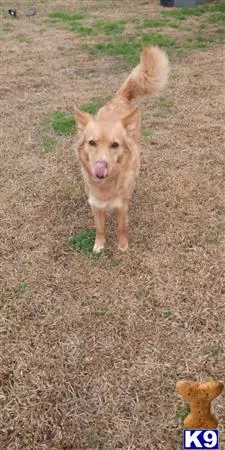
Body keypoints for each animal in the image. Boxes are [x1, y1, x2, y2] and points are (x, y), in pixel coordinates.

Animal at [74, 48, 170, 256]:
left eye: (115, 145)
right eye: (92, 142)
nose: (100, 168)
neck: (106, 186)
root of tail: (119, 98)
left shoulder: (122, 206)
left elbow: (121, 227)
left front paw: (122, 245)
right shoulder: (95, 205)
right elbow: (100, 228)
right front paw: (99, 245)